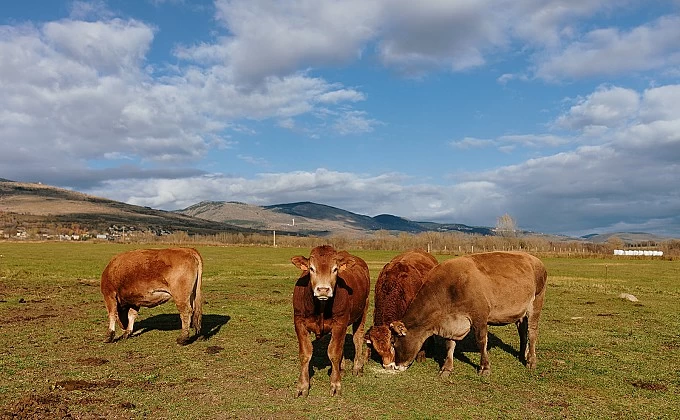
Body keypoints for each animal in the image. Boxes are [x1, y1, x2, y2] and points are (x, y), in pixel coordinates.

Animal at [290, 244, 370, 396]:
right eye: (311, 268)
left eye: (335, 269)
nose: (323, 289)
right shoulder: (299, 322)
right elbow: (305, 354)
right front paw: (302, 386)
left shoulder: (340, 323)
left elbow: (334, 353)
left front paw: (335, 384)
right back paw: (341, 368)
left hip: (363, 310)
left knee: (357, 338)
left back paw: (357, 367)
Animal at [390, 251, 544, 376]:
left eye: (394, 342)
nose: (396, 366)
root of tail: (534, 259)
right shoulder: (451, 322)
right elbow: (449, 344)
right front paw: (446, 368)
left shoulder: (480, 316)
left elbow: (481, 341)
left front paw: (485, 367)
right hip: (520, 313)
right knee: (523, 332)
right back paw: (522, 355)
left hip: (536, 302)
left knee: (532, 332)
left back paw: (531, 360)